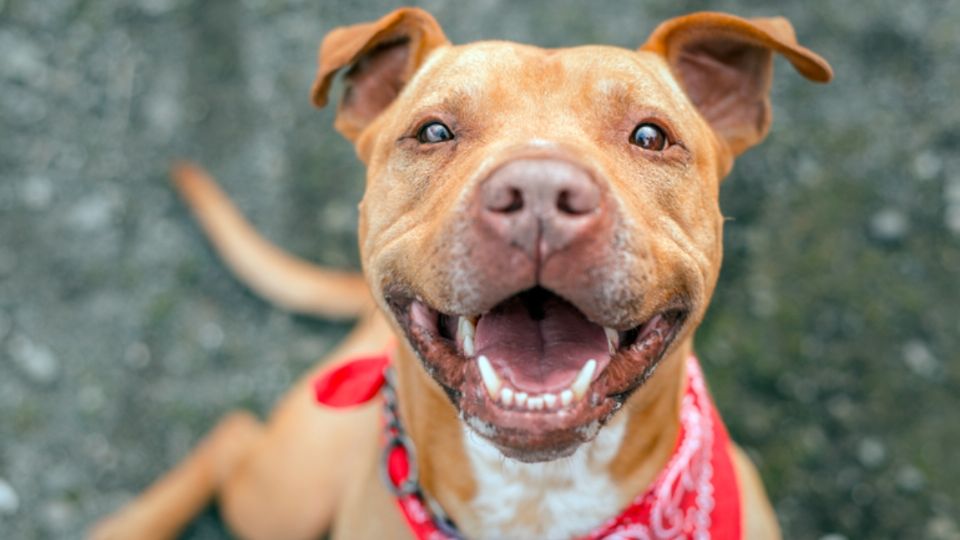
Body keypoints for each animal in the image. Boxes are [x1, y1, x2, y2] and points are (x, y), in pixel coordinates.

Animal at [92, 8, 832, 540]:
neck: (536, 497)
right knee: (230, 438)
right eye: (434, 132)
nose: (539, 194)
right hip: (283, 497)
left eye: (650, 136)